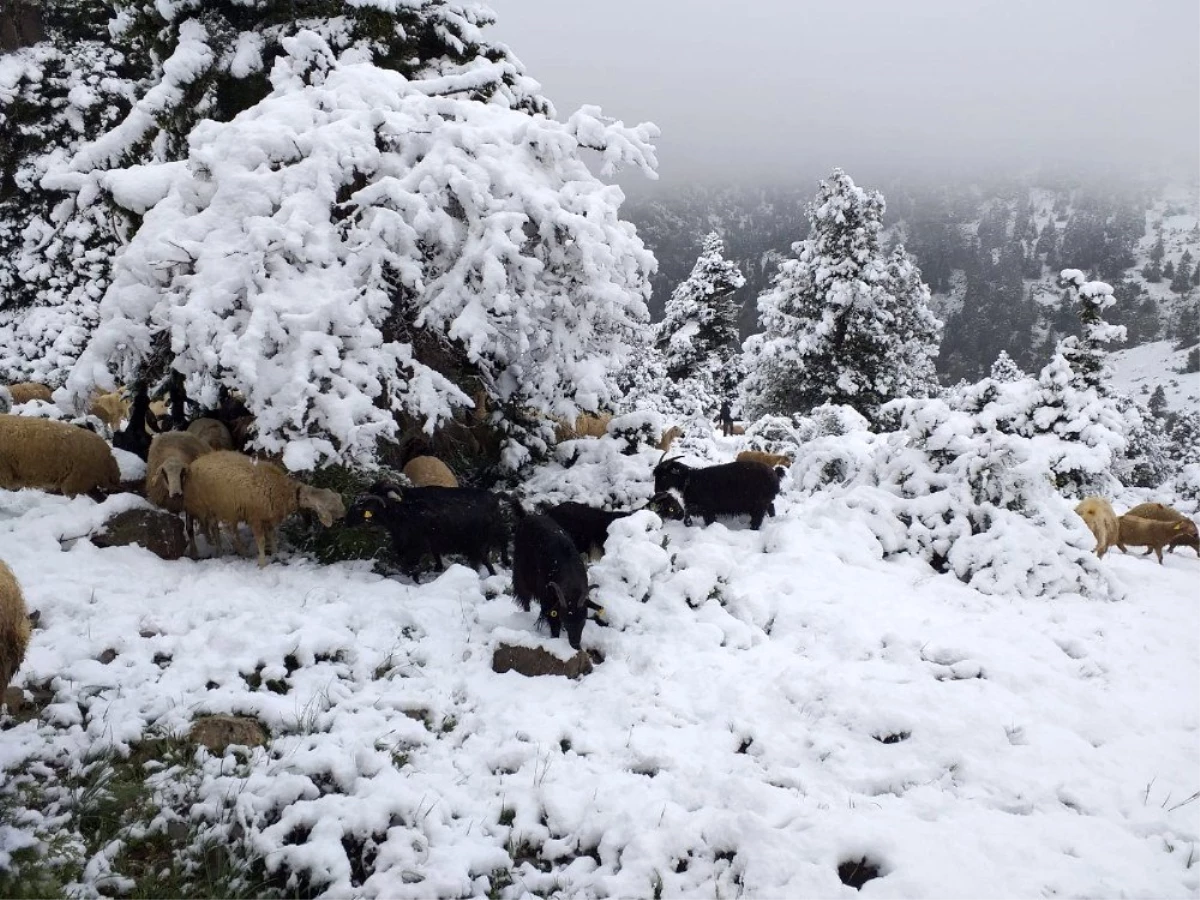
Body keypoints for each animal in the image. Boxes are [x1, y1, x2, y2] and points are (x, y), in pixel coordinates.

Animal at [182, 453, 345, 566]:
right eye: (331, 505)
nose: (344, 513)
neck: (284, 491)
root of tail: (194, 462)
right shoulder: (255, 518)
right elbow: (261, 541)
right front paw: (262, 564)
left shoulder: (268, 518)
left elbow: (272, 537)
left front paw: (275, 554)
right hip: (201, 505)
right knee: (206, 528)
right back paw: (215, 551)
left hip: (222, 508)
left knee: (221, 529)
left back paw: (233, 550)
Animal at [350, 482, 513, 580]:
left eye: (366, 505)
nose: (347, 521)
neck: (401, 509)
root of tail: (494, 497)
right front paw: (437, 569)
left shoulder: (417, 546)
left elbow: (412, 566)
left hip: (485, 537)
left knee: (501, 544)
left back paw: (505, 563)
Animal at [511, 511, 595, 652]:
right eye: (566, 621)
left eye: (583, 620)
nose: (576, 646)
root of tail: (528, 517)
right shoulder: (548, 600)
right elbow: (553, 624)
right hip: (520, 575)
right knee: (525, 598)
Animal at [652, 460, 782, 532]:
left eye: (664, 476)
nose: (656, 491)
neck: (689, 481)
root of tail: (775, 475)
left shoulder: (705, 508)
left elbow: (694, 515)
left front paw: (689, 524)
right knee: (771, 508)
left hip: (758, 504)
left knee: (758, 519)